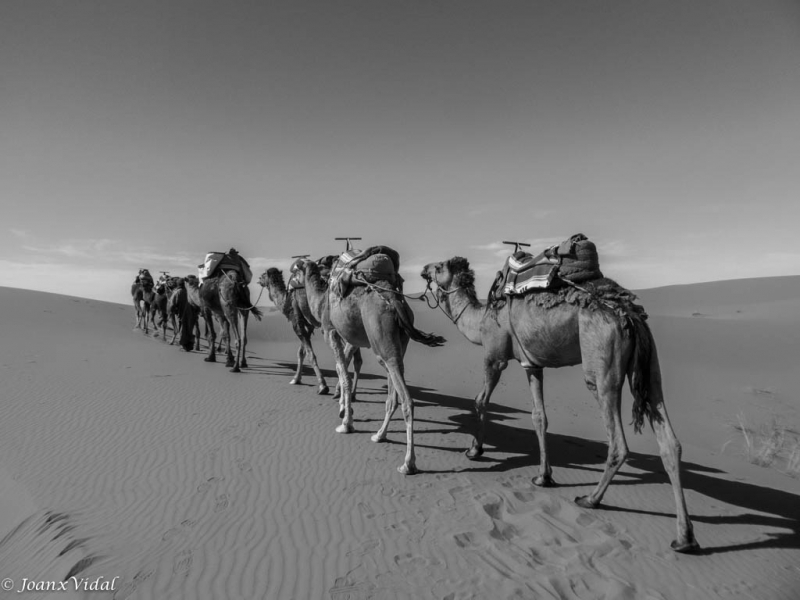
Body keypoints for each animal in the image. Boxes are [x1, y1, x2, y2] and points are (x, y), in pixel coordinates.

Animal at [304, 255, 446, 476]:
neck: (319, 302)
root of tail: (394, 300)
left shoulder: (331, 332)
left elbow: (343, 373)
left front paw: (346, 422)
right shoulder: (352, 338)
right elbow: (343, 368)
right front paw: (343, 408)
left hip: (381, 339)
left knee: (406, 399)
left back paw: (408, 463)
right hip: (397, 343)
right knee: (393, 392)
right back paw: (379, 435)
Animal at [422, 258, 696, 552]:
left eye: (439, 267)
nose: (424, 269)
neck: (481, 320)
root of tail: (629, 316)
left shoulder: (495, 356)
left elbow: (480, 400)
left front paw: (475, 450)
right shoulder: (532, 364)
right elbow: (539, 416)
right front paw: (543, 477)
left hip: (602, 365)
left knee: (618, 441)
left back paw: (591, 499)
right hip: (650, 365)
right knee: (669, 441)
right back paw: (685, 538)